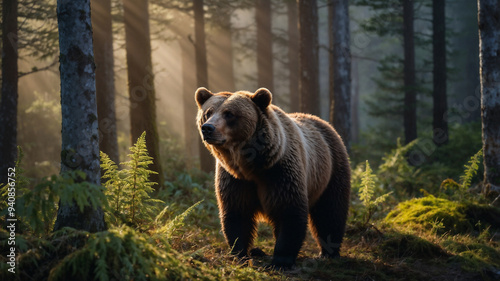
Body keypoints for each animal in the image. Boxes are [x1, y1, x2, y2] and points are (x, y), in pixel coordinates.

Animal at [193, 87, 350, 266]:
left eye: (229, 114)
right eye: (208, 112)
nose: (208, 128)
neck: (252, 166)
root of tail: (325, 123)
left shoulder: (280, 173)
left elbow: (289, 211)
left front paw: (281, 260)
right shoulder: (235, 179)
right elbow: (237, 214)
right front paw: (240, 254)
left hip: (331, 168)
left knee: (330, 210)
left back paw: (328, 252)